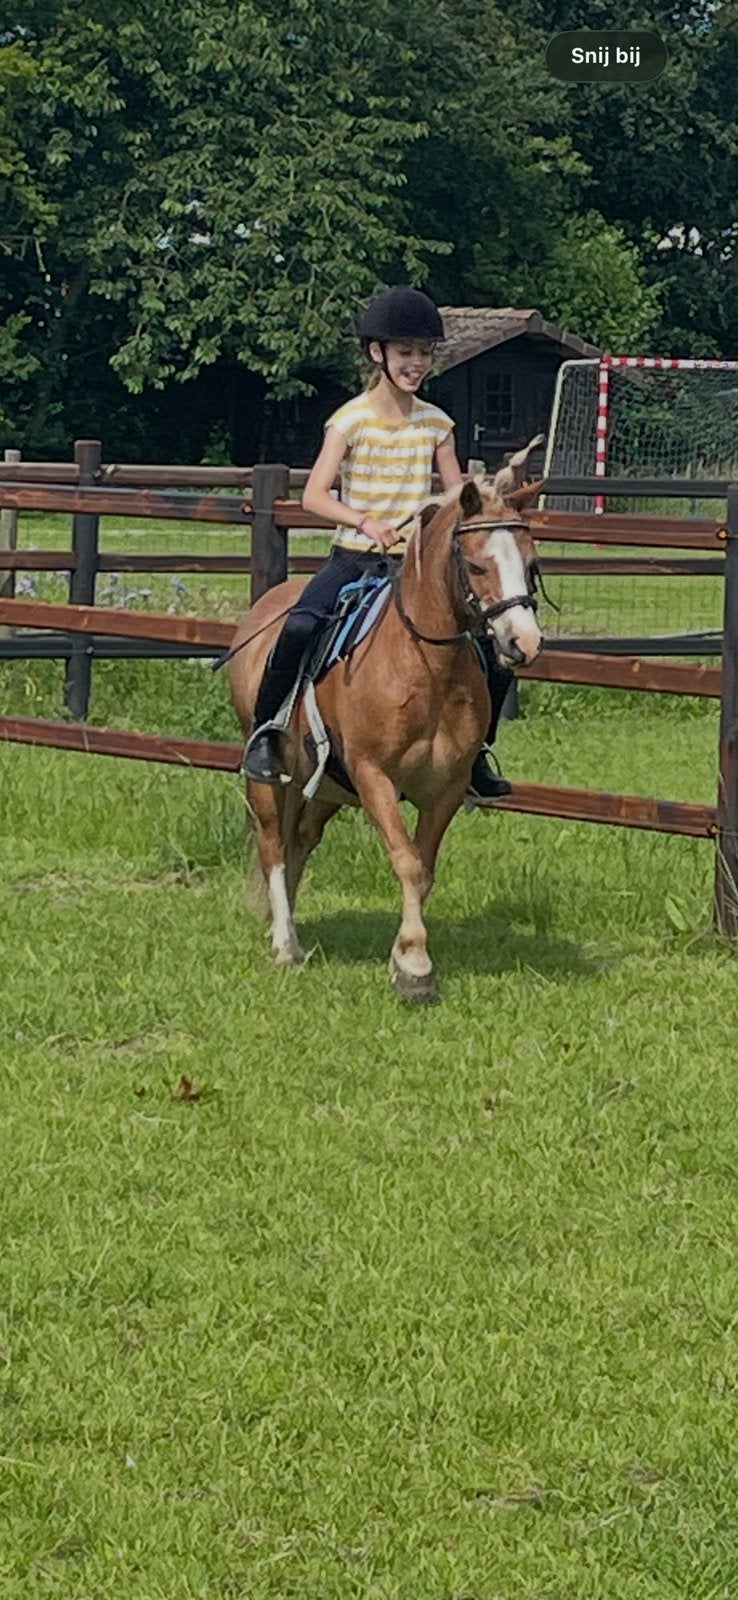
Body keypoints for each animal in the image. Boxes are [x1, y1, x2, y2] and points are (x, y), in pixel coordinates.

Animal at [228, 453, 544, 1003]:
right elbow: (407, 861)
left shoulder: (446, 787)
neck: (425, 667)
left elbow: (424, 868)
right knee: (273, 847)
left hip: (326, 786)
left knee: (300, 841)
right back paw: (285, 943)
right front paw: (415, 968)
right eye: (477, 565)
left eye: (529, 564)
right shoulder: (374, 775)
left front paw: (405, 958)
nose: (523, 642)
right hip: (270, 779)